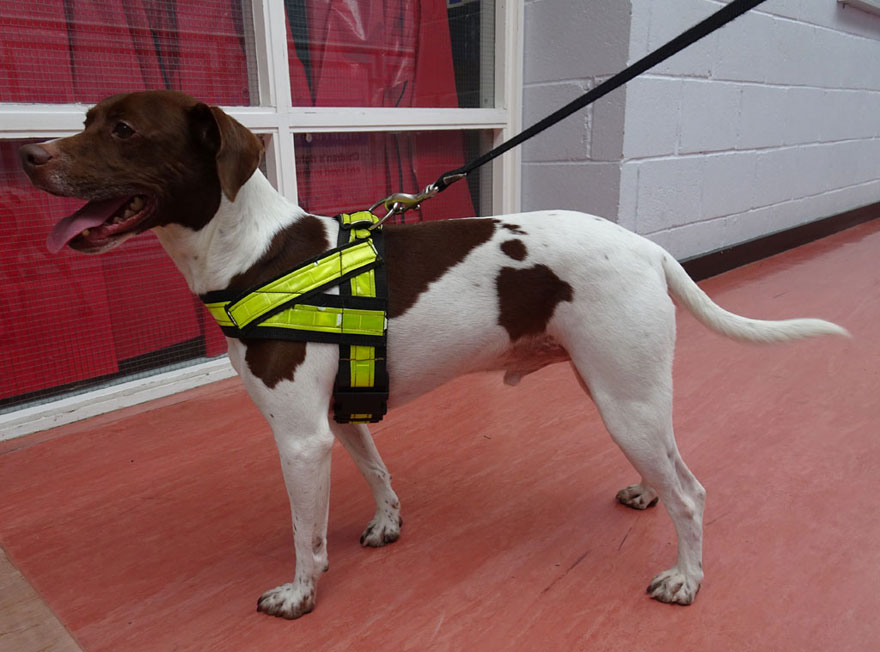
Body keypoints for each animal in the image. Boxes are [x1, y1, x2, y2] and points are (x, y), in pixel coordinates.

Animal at [18, 90, 844, 616]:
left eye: (124, 130)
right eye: (86, 119)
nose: (27, 154)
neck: (253, 252)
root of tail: (647, 246)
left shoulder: (301, 438)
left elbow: (304, 534)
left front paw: (301, 595)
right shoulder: (339, 421)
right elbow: (379, 475)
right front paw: (386, 525)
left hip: (625, 397)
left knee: (693, 493)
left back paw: (685, 578)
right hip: (619, 392)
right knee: (669, 469)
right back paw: (647, 493)